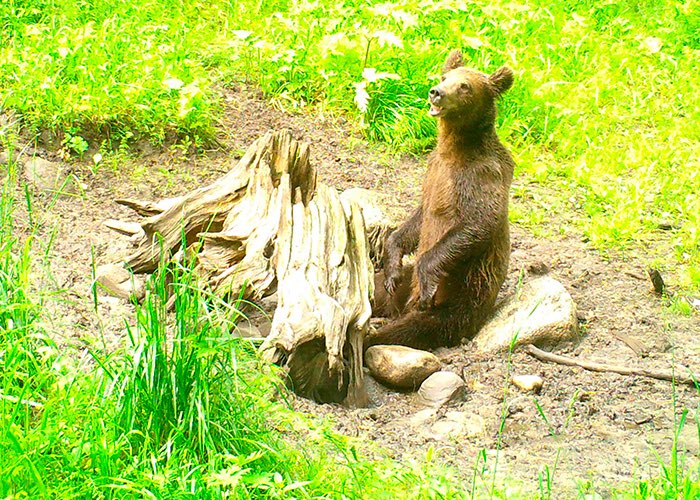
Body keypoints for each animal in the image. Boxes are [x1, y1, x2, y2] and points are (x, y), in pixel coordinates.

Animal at [367, 50, 515, 351]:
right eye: (445, 76)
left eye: (465, 86)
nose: (436, 92)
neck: (453, 149)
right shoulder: (433, 171)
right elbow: (417, 219)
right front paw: (391, 266)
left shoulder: (481, 177)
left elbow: (478, 223)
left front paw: (426, 282)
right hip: (407, 287)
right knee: (375, 288)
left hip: (463, 300)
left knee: (419, 327)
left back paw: (375, 332)